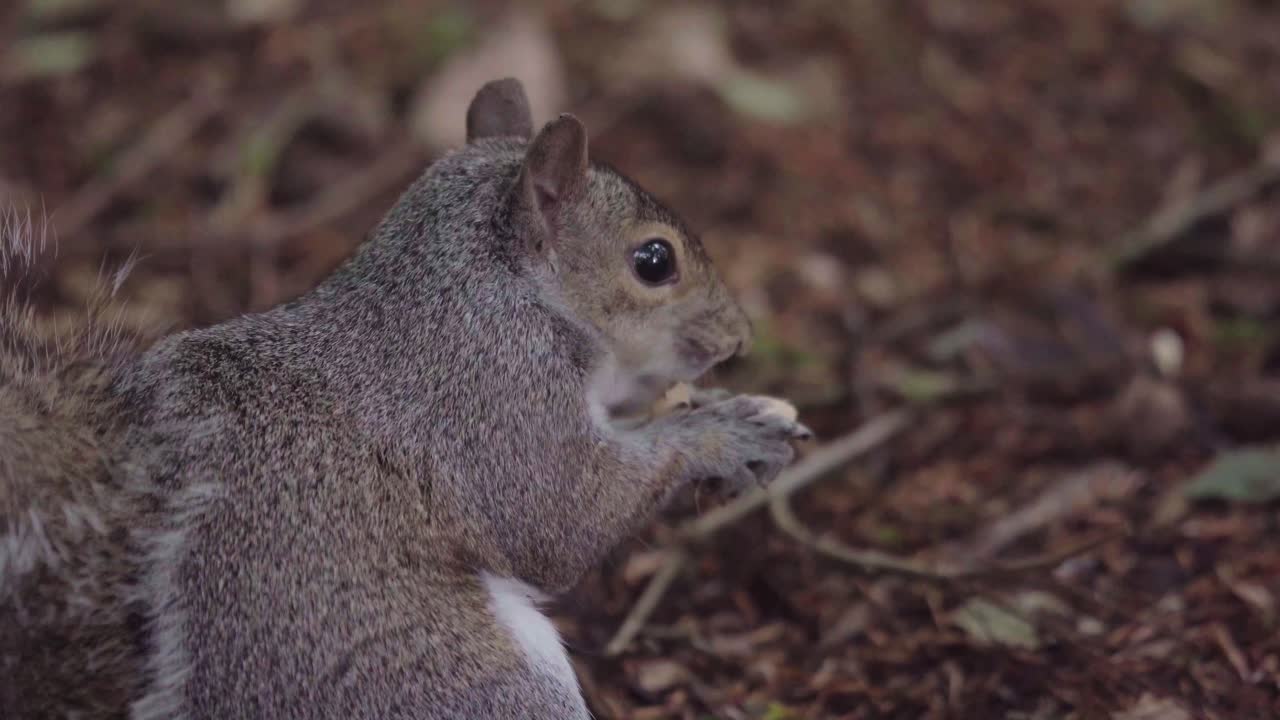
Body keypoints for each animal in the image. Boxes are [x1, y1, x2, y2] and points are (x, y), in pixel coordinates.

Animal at [1, 78, 809, 719]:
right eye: (653, 261)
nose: (737, 338)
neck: (499, 289)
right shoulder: (491, 396)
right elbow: (561, 517)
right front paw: (725, 434)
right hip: (468, 683)